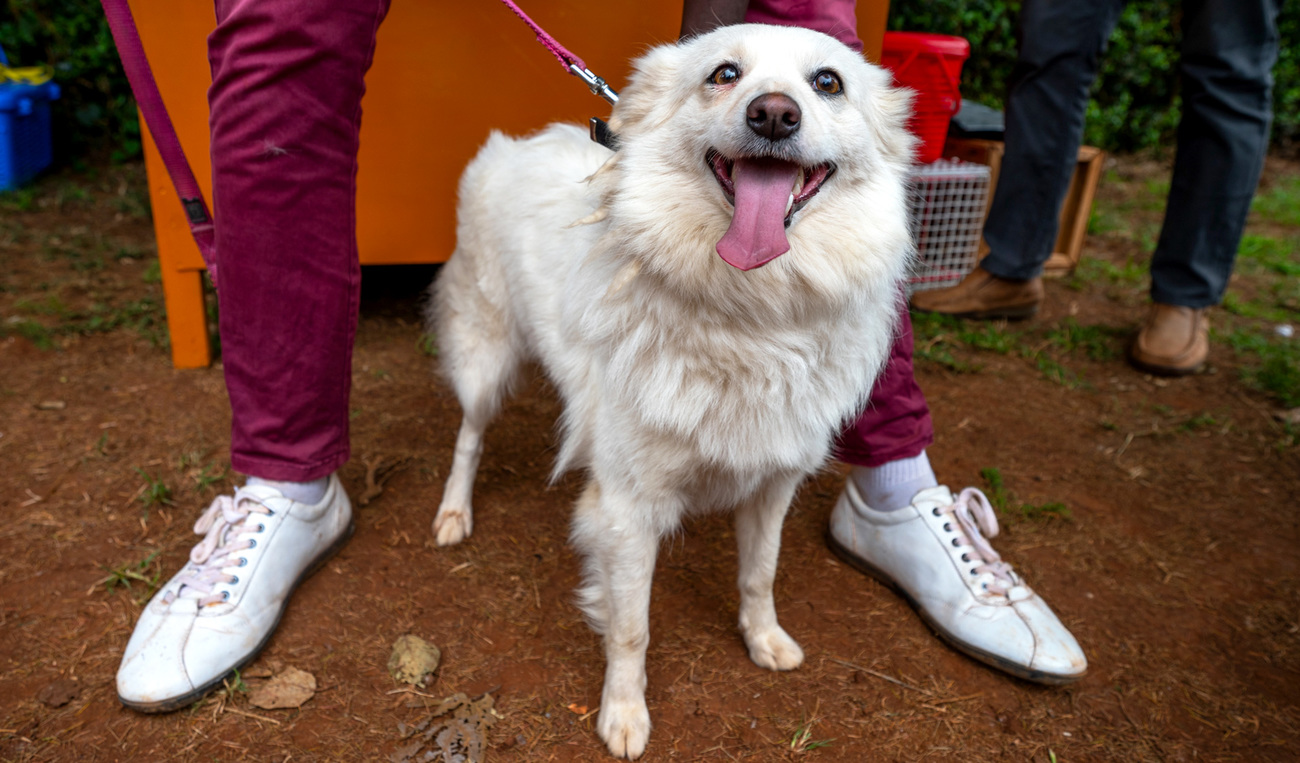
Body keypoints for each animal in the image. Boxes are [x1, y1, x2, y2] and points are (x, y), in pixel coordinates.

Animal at [428, 22, 915, 759]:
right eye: (724, 74)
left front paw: (764, 640)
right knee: (469, 436)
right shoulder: (629, 509)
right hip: (485, 358)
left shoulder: (774, 484)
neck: (753, 316)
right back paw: (454, 513)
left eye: (827, 82)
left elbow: (759, 573)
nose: (774, 114)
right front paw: (624, 715)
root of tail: (513, 145)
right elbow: (632, 627)